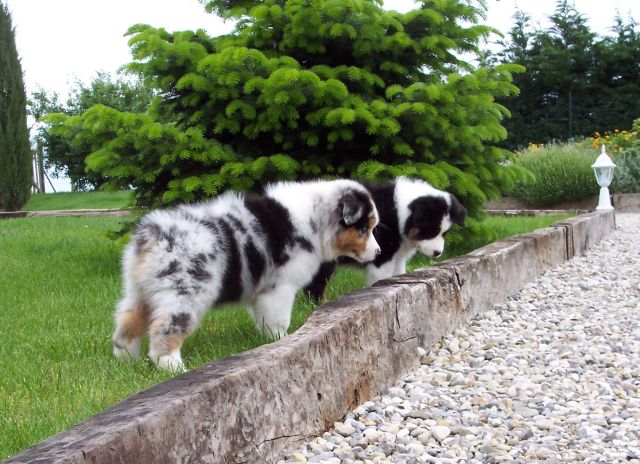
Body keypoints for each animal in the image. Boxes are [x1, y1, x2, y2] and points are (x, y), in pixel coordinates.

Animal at [113, 179, 380, 372]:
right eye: (364, 228)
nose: (378, 251)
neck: (316, 220)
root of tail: (152, 235)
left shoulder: (262, 291)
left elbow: (263, 318)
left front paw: (268, 339)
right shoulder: (280, 287)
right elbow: (278, 319)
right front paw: (282, 339)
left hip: (139, 291)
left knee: (126, 324)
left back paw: (127, 361)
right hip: (183, 291)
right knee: (165, 327)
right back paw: (172, 366)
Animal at [304, 177, 464, 300]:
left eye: (444, 233)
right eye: (431, 231)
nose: (438, 253)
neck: (399, 214)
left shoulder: (398, 257)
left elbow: (397, 275)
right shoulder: (382, 257)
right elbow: (381, 278)